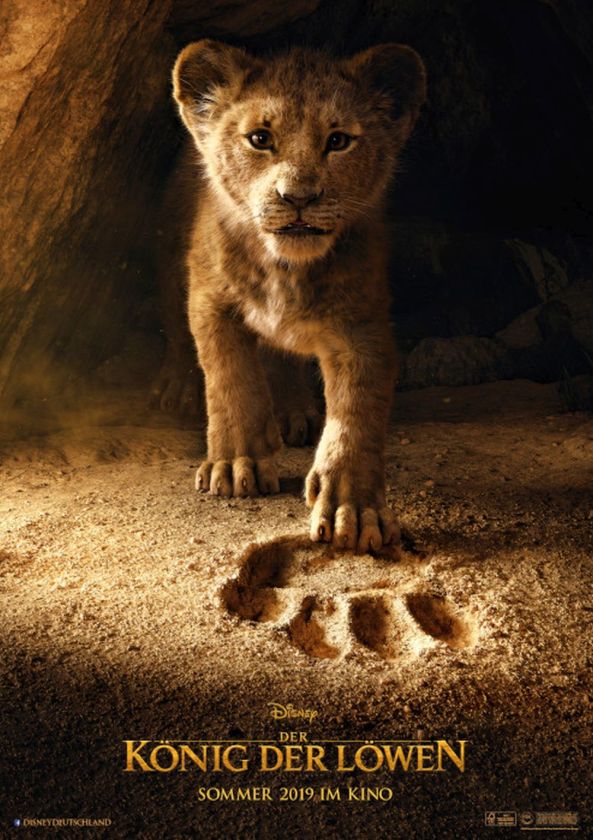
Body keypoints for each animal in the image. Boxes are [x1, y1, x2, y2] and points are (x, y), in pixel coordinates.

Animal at [171, 39, 426, 553]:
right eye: (259, 138)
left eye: (339, 141)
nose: (299, 197)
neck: (285, 269)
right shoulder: (209, 300)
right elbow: (230, 379)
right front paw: (236, 464)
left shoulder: (362, 327)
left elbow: (356, 413)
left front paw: (354, 509)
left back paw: (294, 414)